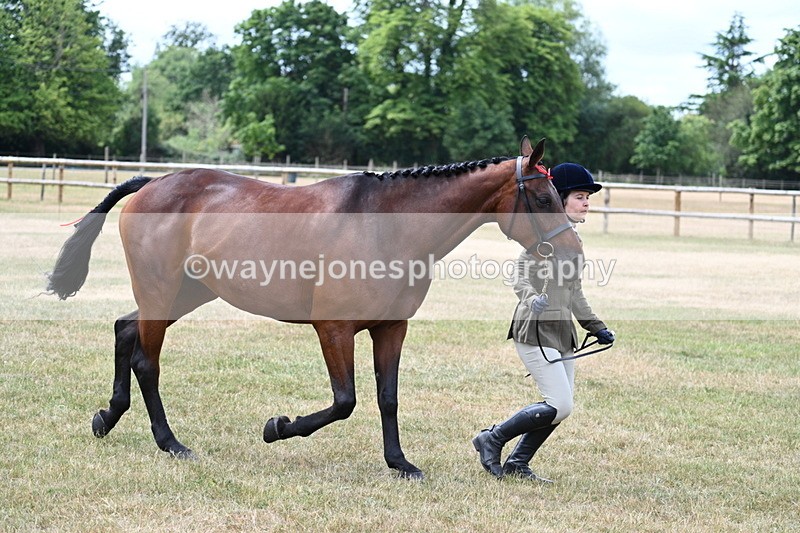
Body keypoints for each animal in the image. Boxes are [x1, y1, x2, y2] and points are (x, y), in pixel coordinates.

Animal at [47, 137, 583, 479]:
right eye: (541, 197)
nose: (572, 253)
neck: (387, 225)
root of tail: (150, 183)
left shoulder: (391, 328)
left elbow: (387, 398)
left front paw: (400, 464)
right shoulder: (334, 328)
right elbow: (345, 401)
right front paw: (278, 428)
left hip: (186, 292)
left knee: (124, 329)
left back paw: (107, 417)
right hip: (162, 291)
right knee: (147, 361)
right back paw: (171, 443)